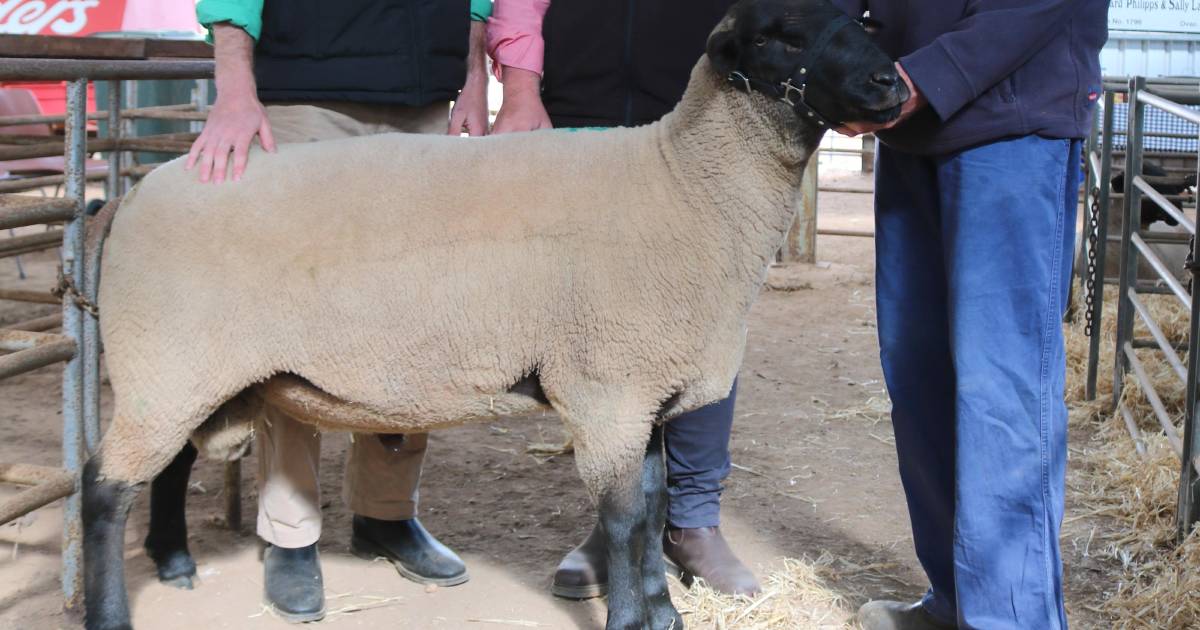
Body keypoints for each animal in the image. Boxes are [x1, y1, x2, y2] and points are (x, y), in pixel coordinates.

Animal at [82, 2, 907, 624]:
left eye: (863, 17)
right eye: (780, 35)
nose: (889, 83)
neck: (684, 182)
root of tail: (133, 193)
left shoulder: (644, 391)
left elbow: (652, 508)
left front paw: (662, 611)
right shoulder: (607, 389)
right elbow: (623, 521)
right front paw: (634, 618)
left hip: (191, 369)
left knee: (169, 464)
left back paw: (175, 559)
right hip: (168, 358)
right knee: (102, 489)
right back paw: (113, 609)